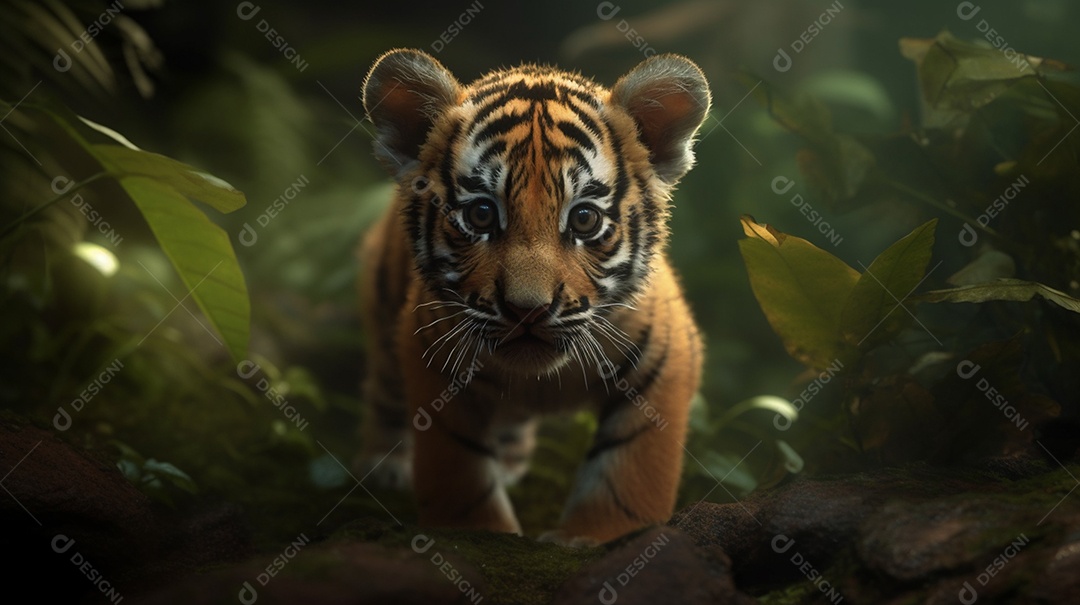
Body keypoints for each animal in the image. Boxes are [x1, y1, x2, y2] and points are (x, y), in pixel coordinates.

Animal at [357, 48, 709, 546]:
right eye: (481, 214)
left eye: (584, 219)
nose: (528, 310)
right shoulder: (429, 347)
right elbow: (458, 467)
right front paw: (479, 533)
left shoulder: (666, 355)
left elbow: (628, 469)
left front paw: (593, 536)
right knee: (384, 389)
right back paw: (384, 465)